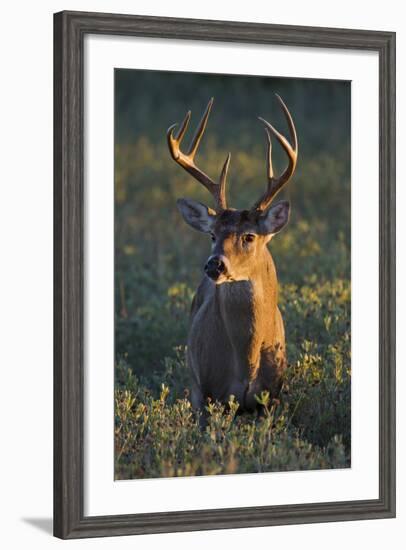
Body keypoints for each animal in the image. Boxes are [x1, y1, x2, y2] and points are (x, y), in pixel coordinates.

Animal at [166, 95, 298, 422]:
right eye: (212, 235)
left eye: (248, 236)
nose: (214, 264)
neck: (246, 362)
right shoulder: (208, 392)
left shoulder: (271, 397)